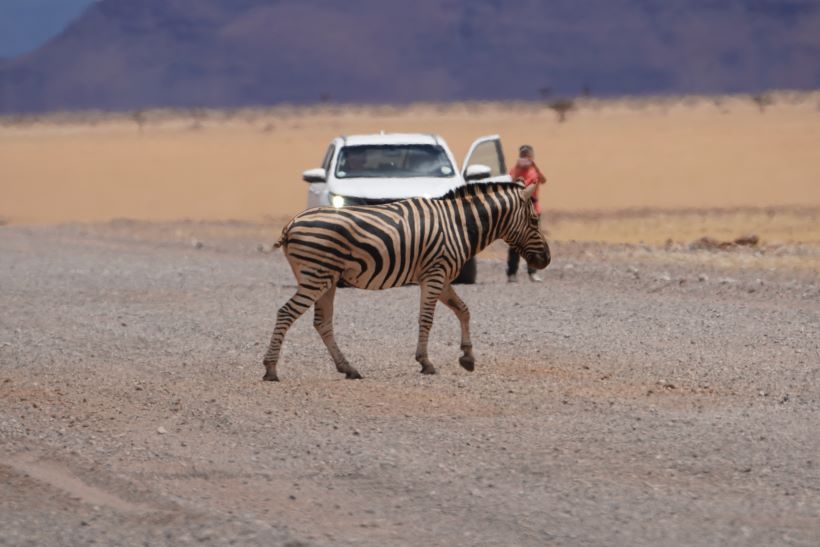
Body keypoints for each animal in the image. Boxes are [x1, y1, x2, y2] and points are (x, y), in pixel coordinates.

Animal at [262, 181, 550, 381]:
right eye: (535, 220)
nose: (546, 260)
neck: (458, 224)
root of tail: (292, 223)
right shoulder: (435, 274)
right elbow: (427, 319)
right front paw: (426, 362)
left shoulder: (441, 277)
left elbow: (463, 310)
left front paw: (467, 357)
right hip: (316, 277)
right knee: (286, 313)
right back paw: (271, 369)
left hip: (327, 280)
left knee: (322, 322)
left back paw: (349, 368)